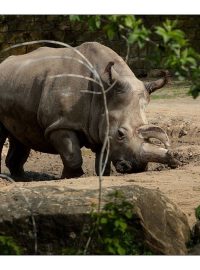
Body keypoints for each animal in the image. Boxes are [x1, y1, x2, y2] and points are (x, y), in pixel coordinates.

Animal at [0, 41, 180, 179]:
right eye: (120, 134)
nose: (136, 168)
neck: (104, 92)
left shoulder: (100, 124)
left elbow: (102, 160)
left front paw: (102, 175)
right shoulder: (60, 124)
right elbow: (72, 156)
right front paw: (70, 177)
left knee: (20, 137)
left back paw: (22, 179)